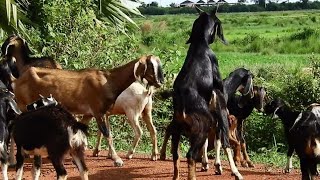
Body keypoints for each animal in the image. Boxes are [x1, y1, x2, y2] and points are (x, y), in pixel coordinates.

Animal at [11, 54, 165, 166]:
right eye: (151, 66)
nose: (160, 82)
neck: (109, 81)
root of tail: (17, 80)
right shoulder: (98, 112)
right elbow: (108, 134)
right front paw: (117, 160)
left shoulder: (91, 114)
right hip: (24, 105)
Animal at [170, 6, 242, 179]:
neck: (199, 45)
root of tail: (183, 111)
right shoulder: (221, 101)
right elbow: (224, 141)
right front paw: (233, 171)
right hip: (200, 130)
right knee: (190, 155)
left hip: (177, 132)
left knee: (176, 155)